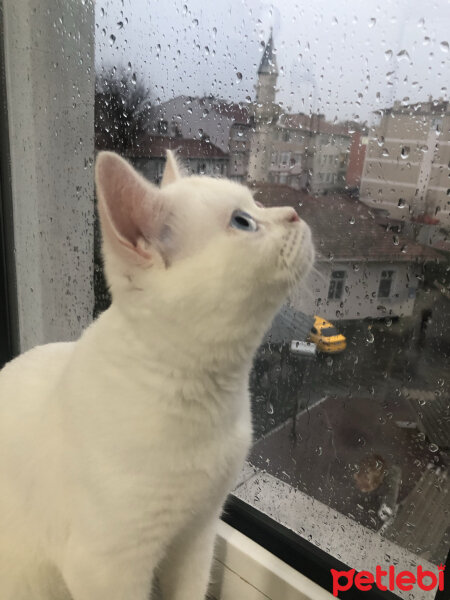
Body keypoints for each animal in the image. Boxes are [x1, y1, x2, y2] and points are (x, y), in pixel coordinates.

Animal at [0, 149, 312, 596]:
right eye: (242, 221)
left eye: (256, 203)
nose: (294, 213)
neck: (208, 394)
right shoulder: (107, 567)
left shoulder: (198, 534)